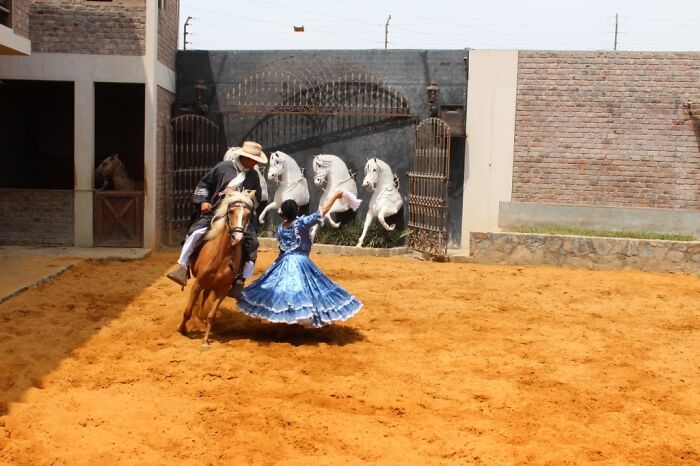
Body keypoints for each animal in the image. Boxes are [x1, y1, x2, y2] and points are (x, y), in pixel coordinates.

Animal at [178, 189, 258, 346]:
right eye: (231, 211)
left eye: (248, 214)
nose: (238, 238)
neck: (222, 257)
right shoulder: (198, 283)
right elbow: (188, 310)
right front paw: (182, 329)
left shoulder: (222, 289)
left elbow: (212, 315)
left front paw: (205, 340)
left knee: (205, 297)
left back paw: (200, 316)